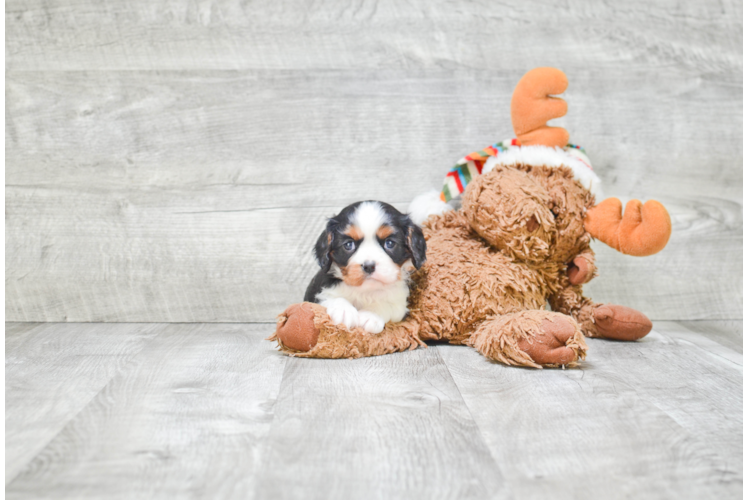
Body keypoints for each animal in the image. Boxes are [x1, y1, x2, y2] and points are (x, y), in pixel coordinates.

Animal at [304, 201, 426, 334]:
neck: (366, 290)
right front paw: (343, 310)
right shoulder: (317, 294)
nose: (369, 266)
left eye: (389, 243)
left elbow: (387, 305)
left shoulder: (400, 305)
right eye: (348, 244)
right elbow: (330, 297)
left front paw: (370, 315)